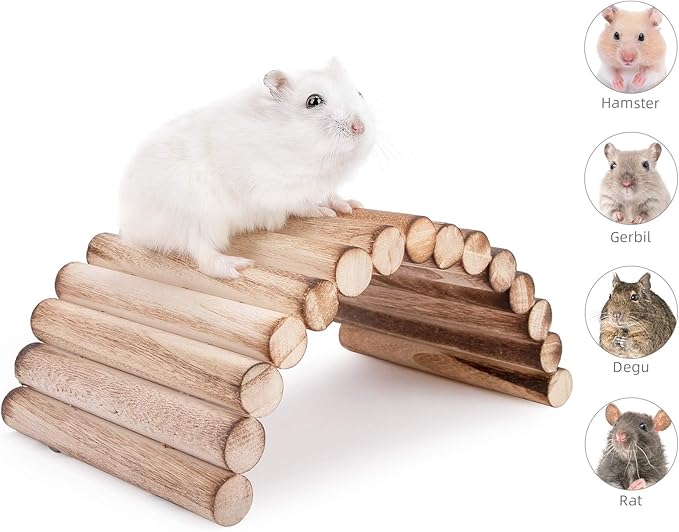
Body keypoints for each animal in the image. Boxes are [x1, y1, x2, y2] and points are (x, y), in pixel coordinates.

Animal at [119, 59, 375, 278]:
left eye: (359, 93)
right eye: (313, 101)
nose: (360, 127)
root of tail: (130, 227)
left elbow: (329, 193)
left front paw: (349, 206)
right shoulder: (272, 188)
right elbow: (301, 202)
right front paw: (323, 212)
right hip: (196, 214)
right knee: (202, 253)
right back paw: (237, 267)